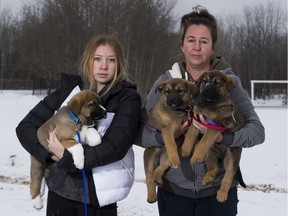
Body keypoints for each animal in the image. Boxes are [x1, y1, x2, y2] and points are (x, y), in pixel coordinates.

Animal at [182, 70, 245, 202]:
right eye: (205, 81)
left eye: (217, 83)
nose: (205, 89)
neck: (208, 104)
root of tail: (221, 154)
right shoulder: (196, 121)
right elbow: (190, 136)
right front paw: (185, 150)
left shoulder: (212, 127)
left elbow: (203, 142)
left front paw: (195, 157)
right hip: (210, 153)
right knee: (214, 167)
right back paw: (207, 178)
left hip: (231, 157)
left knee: (228, 177)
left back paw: (222, 194)